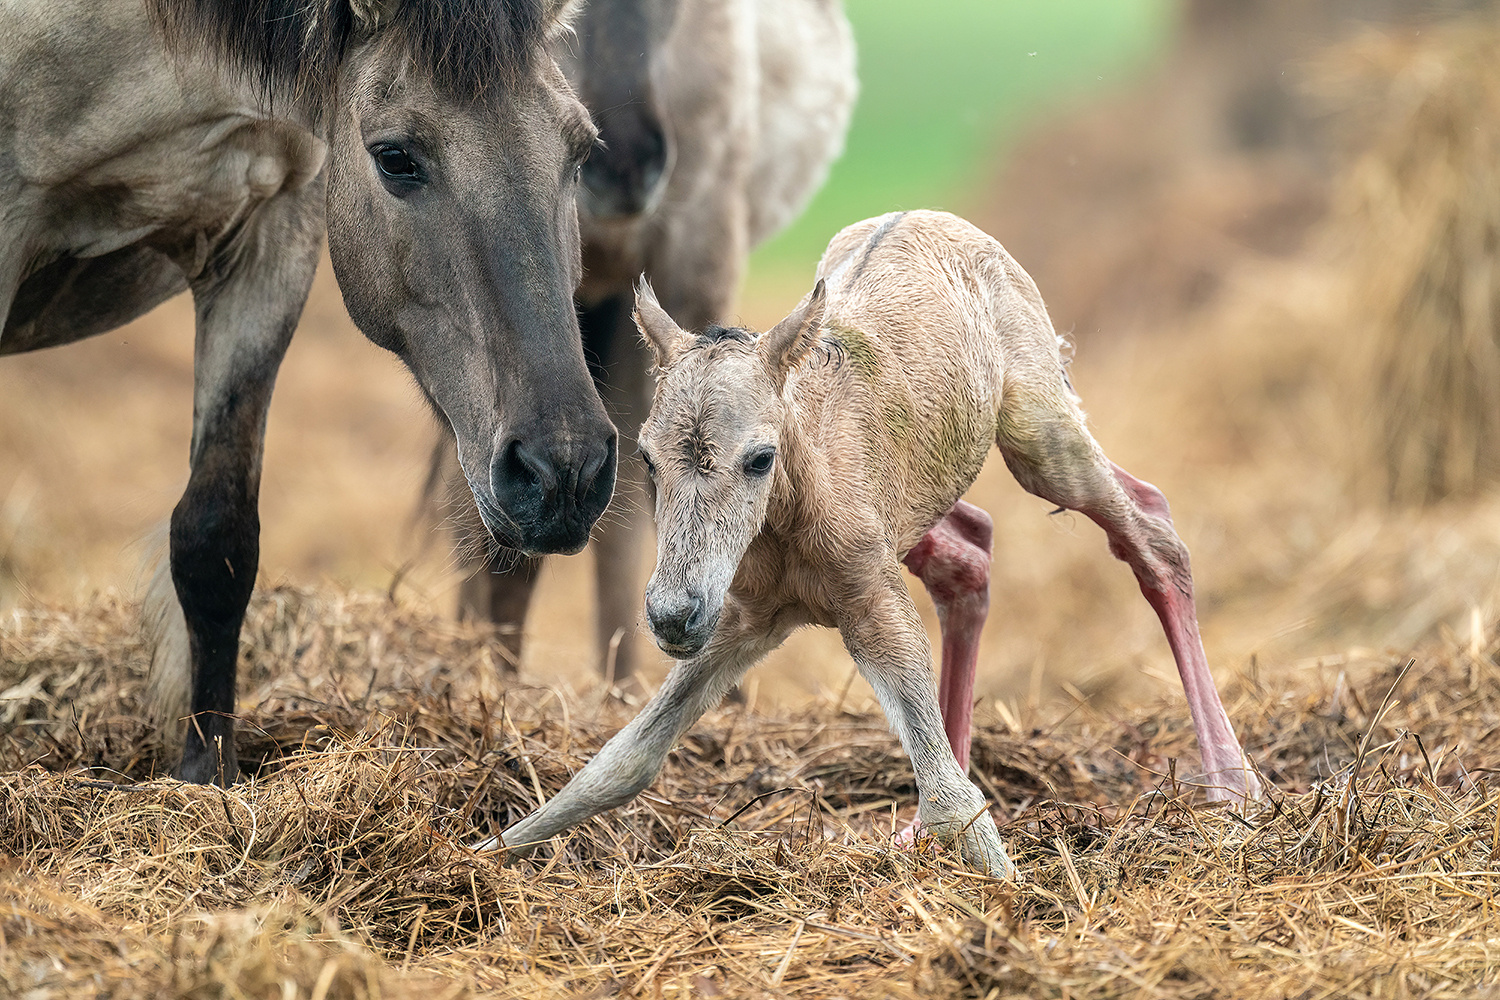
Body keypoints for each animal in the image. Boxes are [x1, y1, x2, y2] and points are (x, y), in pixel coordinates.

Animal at [1, 0, 615, 779]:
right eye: (395, 157)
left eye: (580, 152)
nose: (564, 471)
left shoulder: (270, 232)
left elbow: (216, 538)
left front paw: (207, 775)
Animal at [495, 211, 1266, 875]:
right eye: (647, 459)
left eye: (759, 458)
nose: (672, 615)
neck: (790, 520)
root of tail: (943, 219)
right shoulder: (744, 618)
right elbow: (621, 763)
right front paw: (487, 855)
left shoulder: (869, 601)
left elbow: (950, 792)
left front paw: (1016, 899)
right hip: (919, 509)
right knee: (975, 549)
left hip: (1039, 439)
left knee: (1152, 531)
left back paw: (1233, 786)